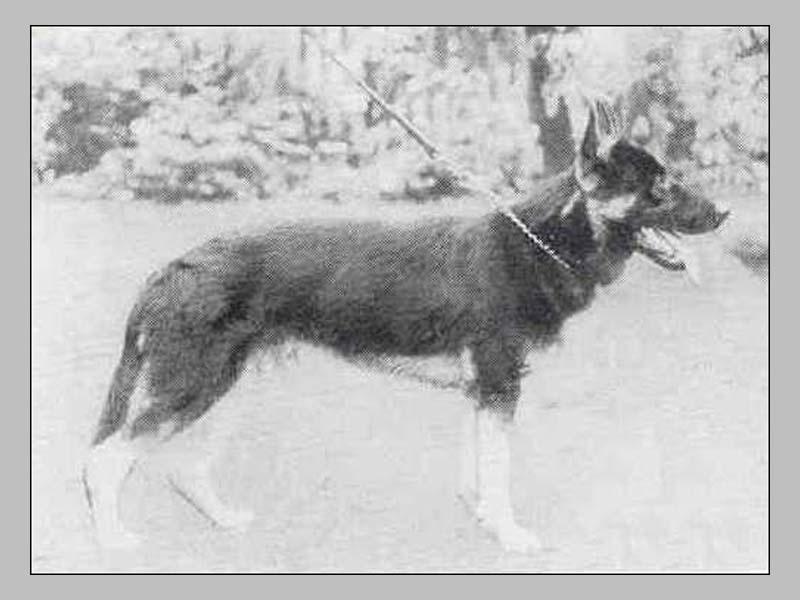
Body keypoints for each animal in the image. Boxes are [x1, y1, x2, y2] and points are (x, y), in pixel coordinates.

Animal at [82, 99, 729, 553]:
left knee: (182, 468)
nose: (725, 213)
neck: (539, 242)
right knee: (106, 460)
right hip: (193, 389)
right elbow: (499, 472)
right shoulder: (498, 386)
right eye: (661, 188)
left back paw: (225, 523)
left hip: (227, 390)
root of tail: (173, 267)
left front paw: (486, 522)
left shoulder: (483, 392)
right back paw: (111, 542)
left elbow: (479, 469)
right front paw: (511, 536)